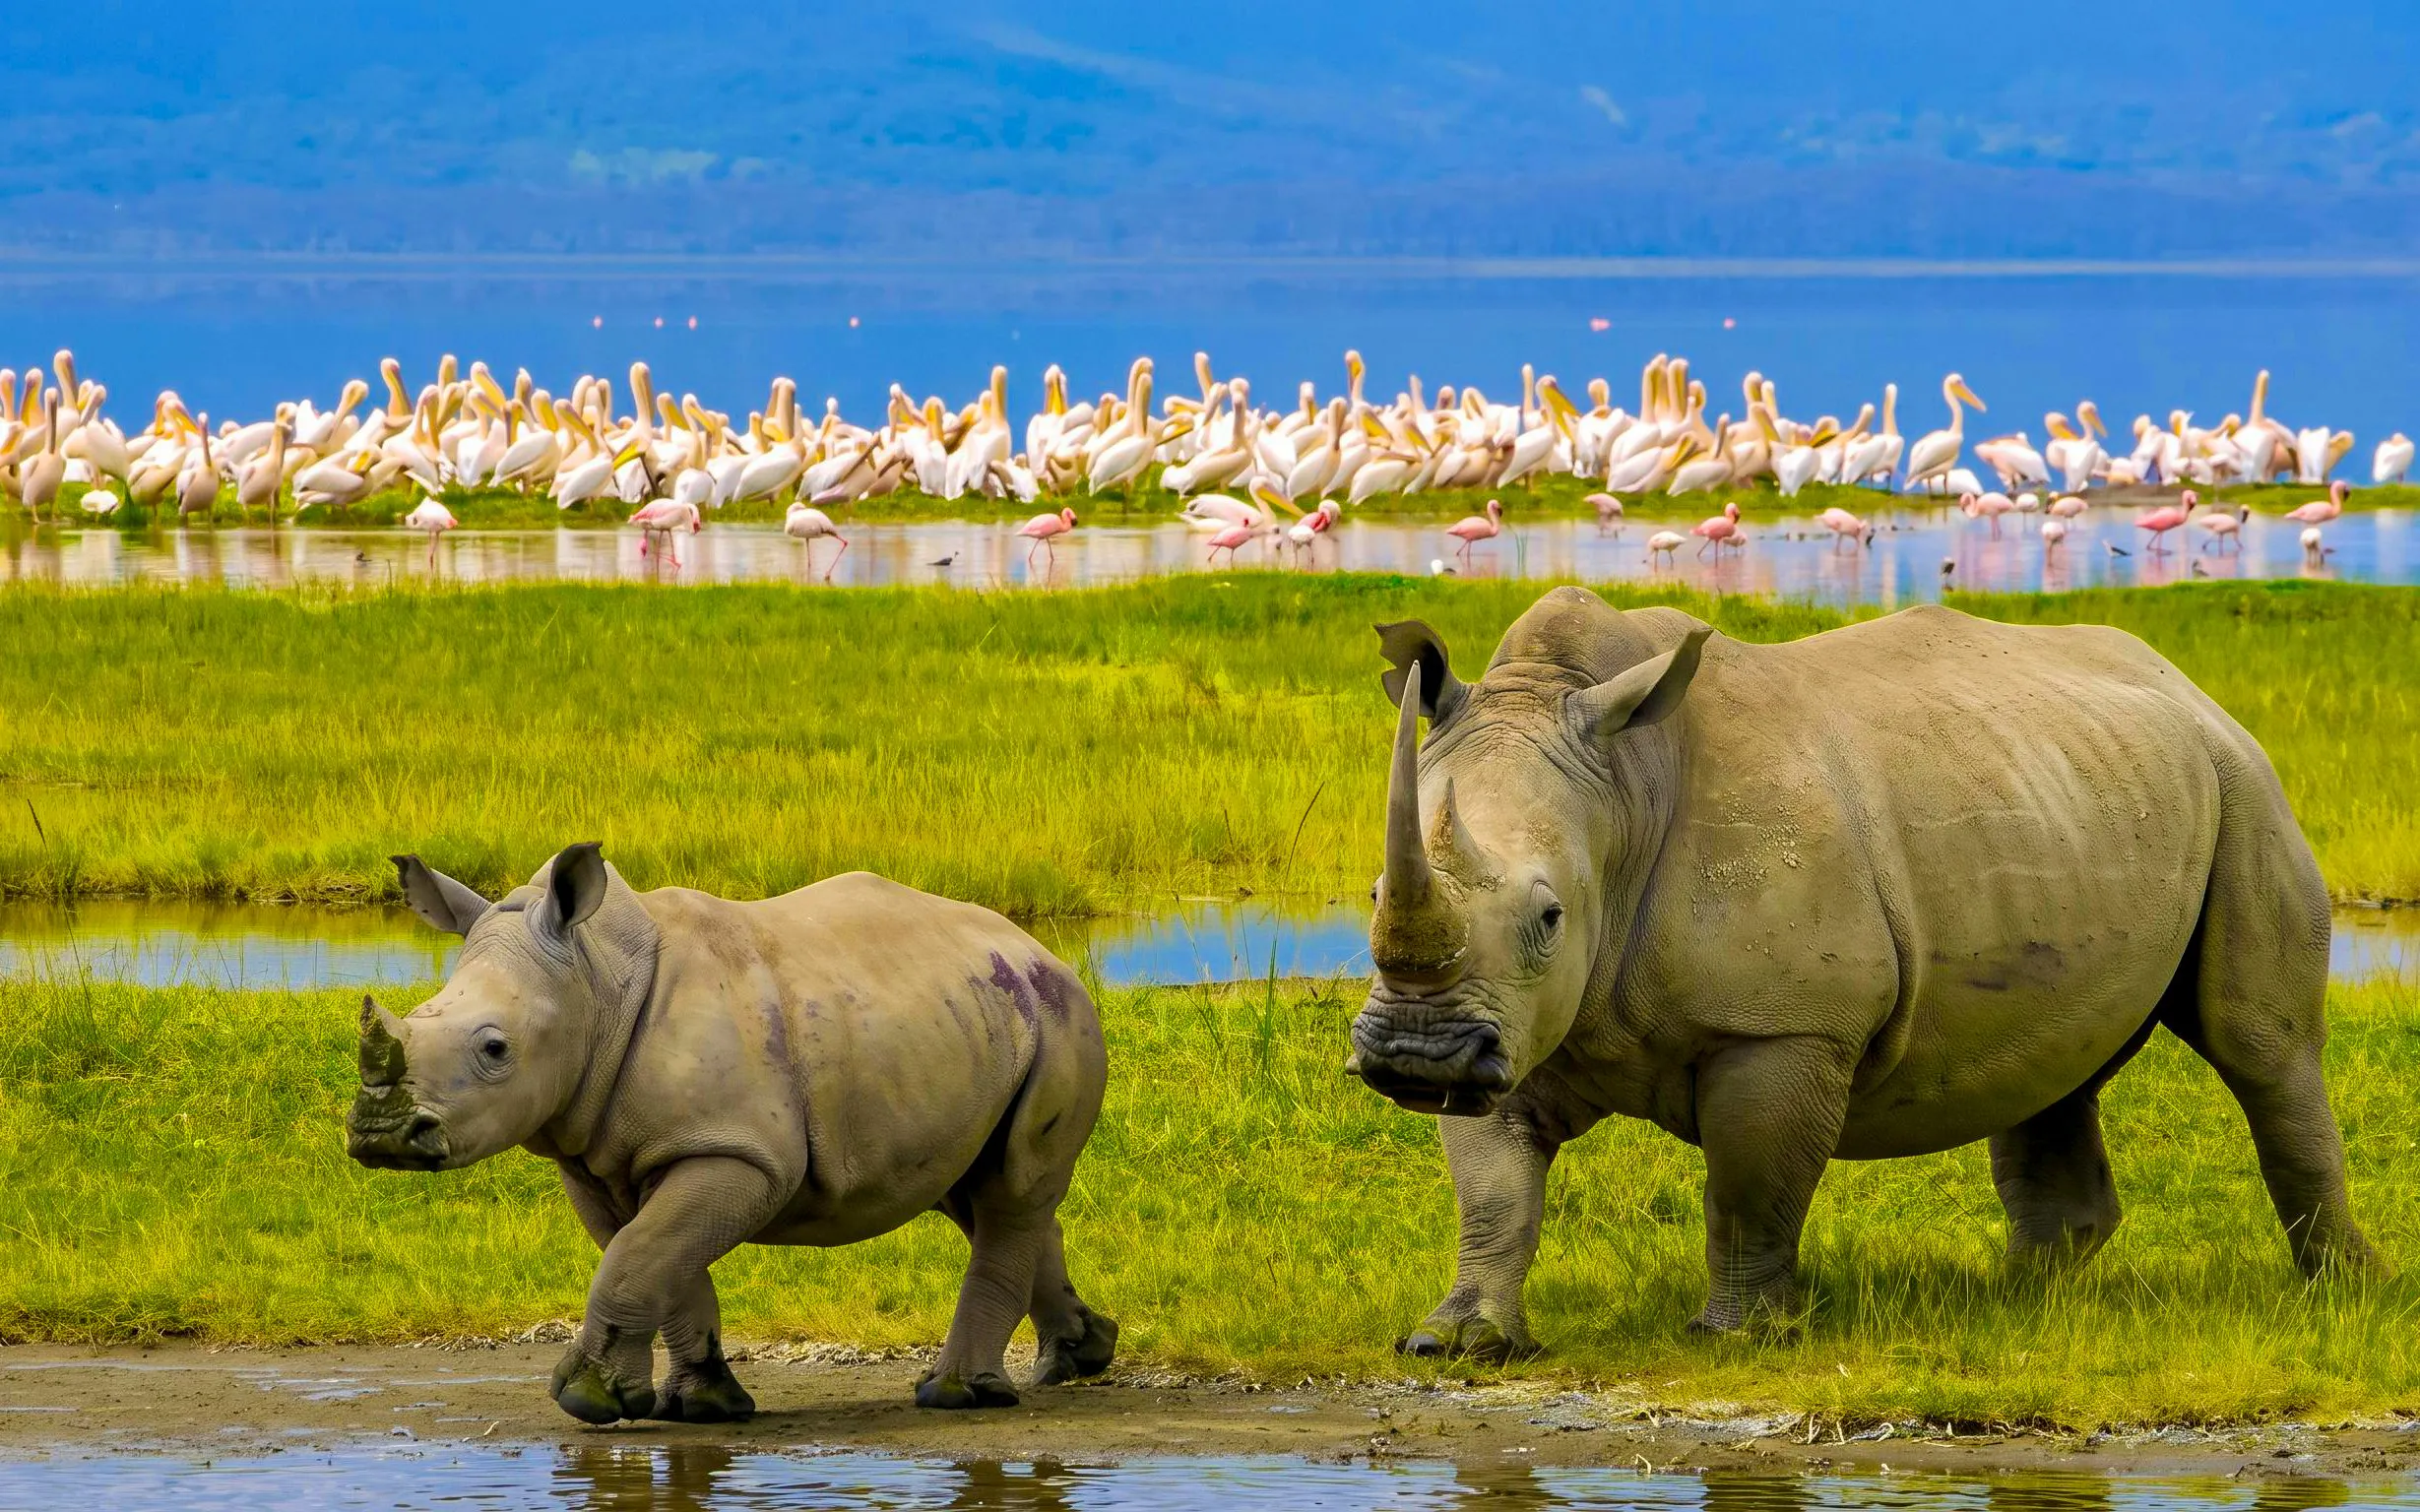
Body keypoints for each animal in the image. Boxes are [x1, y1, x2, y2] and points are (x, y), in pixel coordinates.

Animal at [346, 843, 1117, 1421]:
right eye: (421, 1014)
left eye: (495, 1049)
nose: (382, 1136)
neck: (594, 982)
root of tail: (1037, 947)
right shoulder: (601, 1157)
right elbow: (656, 1258)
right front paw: (702, 1407)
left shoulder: (739, 1153)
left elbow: (639, 1255)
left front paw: (587, 1401)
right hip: (974, 1020)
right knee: (979, 1190)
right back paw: (1077, 1356)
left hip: (1060, 1018)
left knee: (1011, 1191)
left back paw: (955, 1397)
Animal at [1352, 589, 2373, 1357]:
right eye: (1371, 894)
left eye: (1549, 916)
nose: (1415, 1056)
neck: (1624, 792)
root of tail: (2185, 683)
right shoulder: (1510, 1023)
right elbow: (1494, 1186)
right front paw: (1458, 1342)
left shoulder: (1784, 1024)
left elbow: (1749, 1186)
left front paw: (1737, 1336)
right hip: (2074, 791)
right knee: (2059, 1056)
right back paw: (2018, 1300)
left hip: (2245, 784)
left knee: (2260, 1047)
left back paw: (2342, 1292)